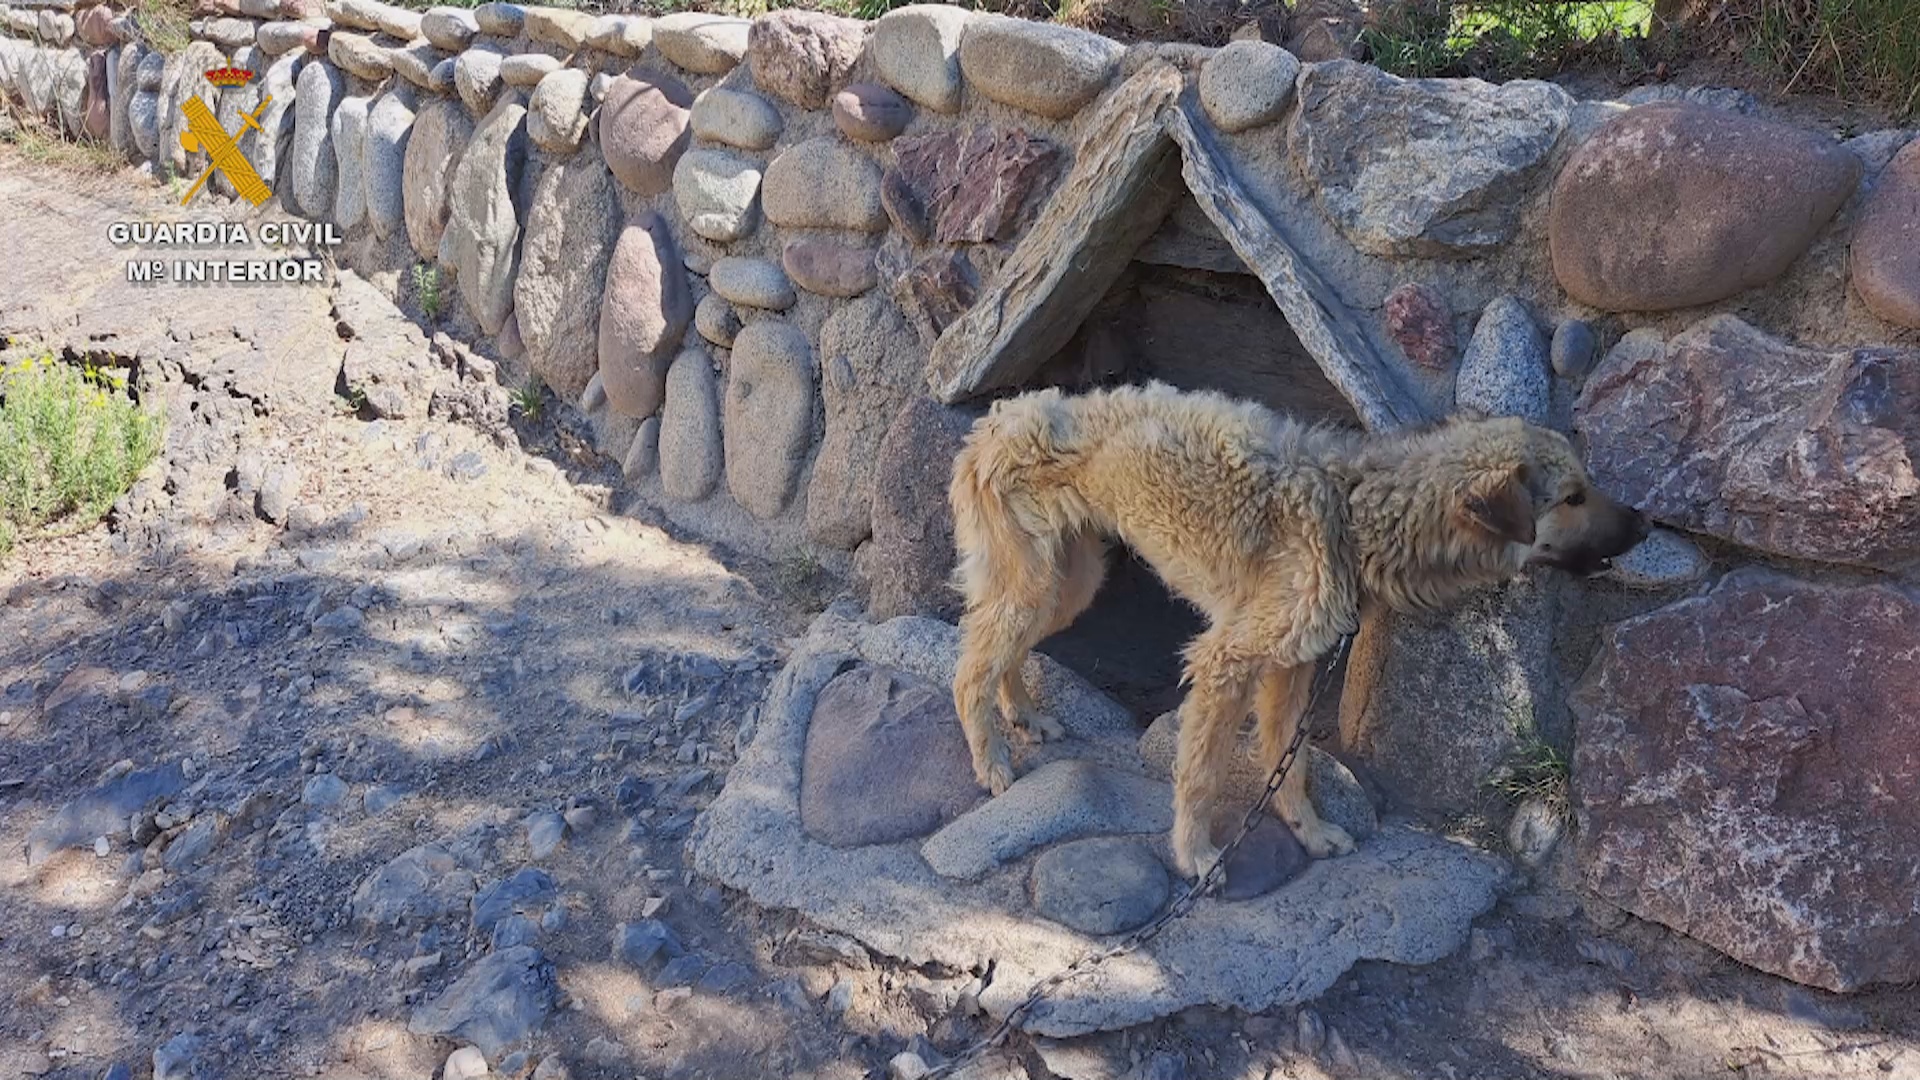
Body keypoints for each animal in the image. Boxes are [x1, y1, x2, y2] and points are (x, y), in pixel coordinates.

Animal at [948, 378, 1651, 876]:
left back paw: (1022, 716)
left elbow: (1291, 765)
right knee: (970, 668)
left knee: (1002, 653)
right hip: (1035, 585)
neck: (1355, 515)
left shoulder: (1293, 669)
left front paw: (1307, 833)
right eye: (1573, 498)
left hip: (1068, 583)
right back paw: (991, 763)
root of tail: (1000, 417)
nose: (1646, 523)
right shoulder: (1226, 661)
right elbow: (1202, 772)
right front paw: (1194, 854)